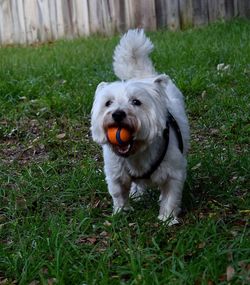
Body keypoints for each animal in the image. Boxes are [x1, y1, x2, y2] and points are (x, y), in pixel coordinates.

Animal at [90, 29, 189, 224]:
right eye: (108, 103)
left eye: (136, 102)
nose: (118, 114)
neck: (136, 154)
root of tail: (145, 77)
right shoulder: (115, 173)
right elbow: (118, 194)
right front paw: (121, 213)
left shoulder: (174, 172)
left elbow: (171, 197)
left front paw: (167, 219)